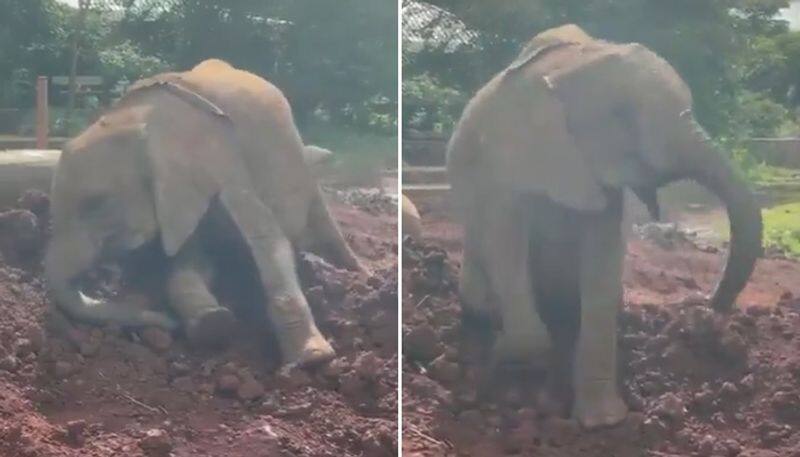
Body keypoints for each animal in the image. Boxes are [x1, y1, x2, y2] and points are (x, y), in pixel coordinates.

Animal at [47, 58, 366, 366]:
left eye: (95, 203)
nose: (166, 323)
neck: (139, 118)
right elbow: (186, 259)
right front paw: (212, 325)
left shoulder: (221, 158)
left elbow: (266, 237)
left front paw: (313, 361)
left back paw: (361, 275)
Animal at [446, 25, 764, 428]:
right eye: (621, 115)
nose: (707, 312)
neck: (567, 68)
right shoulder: (503, 158)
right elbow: (504, 238)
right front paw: (512, 368)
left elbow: (601, 261)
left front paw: (604, 423)